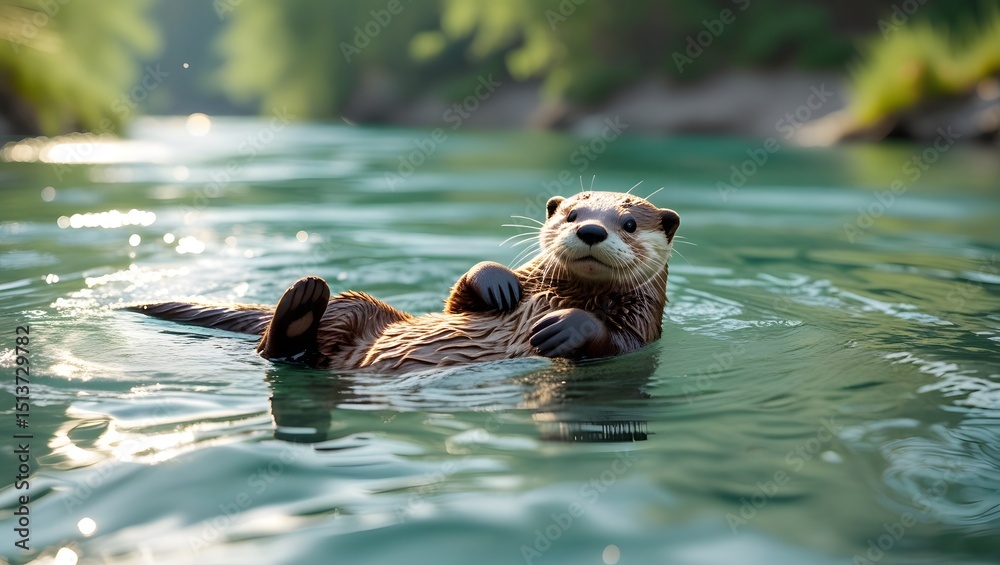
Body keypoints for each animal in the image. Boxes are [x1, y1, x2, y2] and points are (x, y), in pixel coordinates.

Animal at [128, 191, 680, 374]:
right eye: (570, 214)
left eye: (628, 224)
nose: (591, 230)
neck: (565, 292)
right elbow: (459, 300)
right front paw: (496, 280)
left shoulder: (642, 328)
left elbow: (614, 341)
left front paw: (565, 327)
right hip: (358, 309)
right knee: (284, 343)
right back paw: (304, 298)